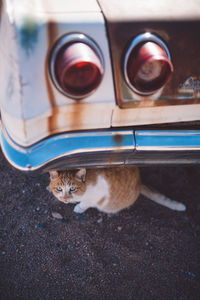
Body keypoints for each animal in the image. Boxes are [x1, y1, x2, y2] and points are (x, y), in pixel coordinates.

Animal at [48, 166, 186, 213]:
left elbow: (86, 203)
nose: (65, 199)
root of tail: (139, 183)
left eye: (72, 188)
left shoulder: (97, 196)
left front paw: (79, 207)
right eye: (59, 189)